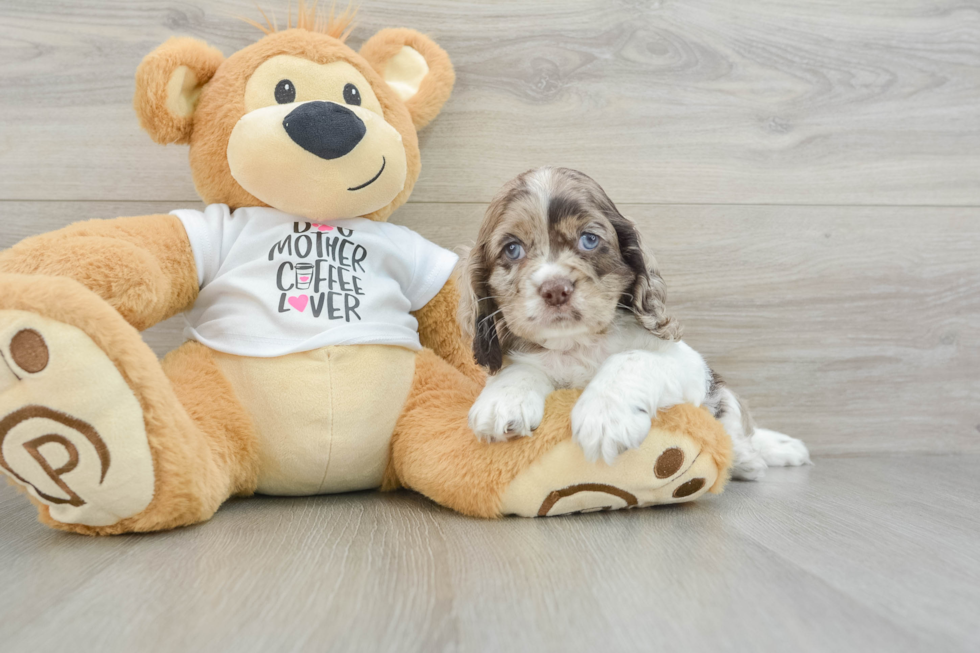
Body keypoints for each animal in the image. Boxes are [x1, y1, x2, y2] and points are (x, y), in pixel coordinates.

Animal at [460, 166, 812, 476]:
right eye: (512, 249)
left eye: (589, 239)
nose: (555, 289)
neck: (580, 344)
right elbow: (520, 369)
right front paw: (502, 400)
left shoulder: (688, 363)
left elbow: (631, 358)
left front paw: (605, 417)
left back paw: (756, 456)